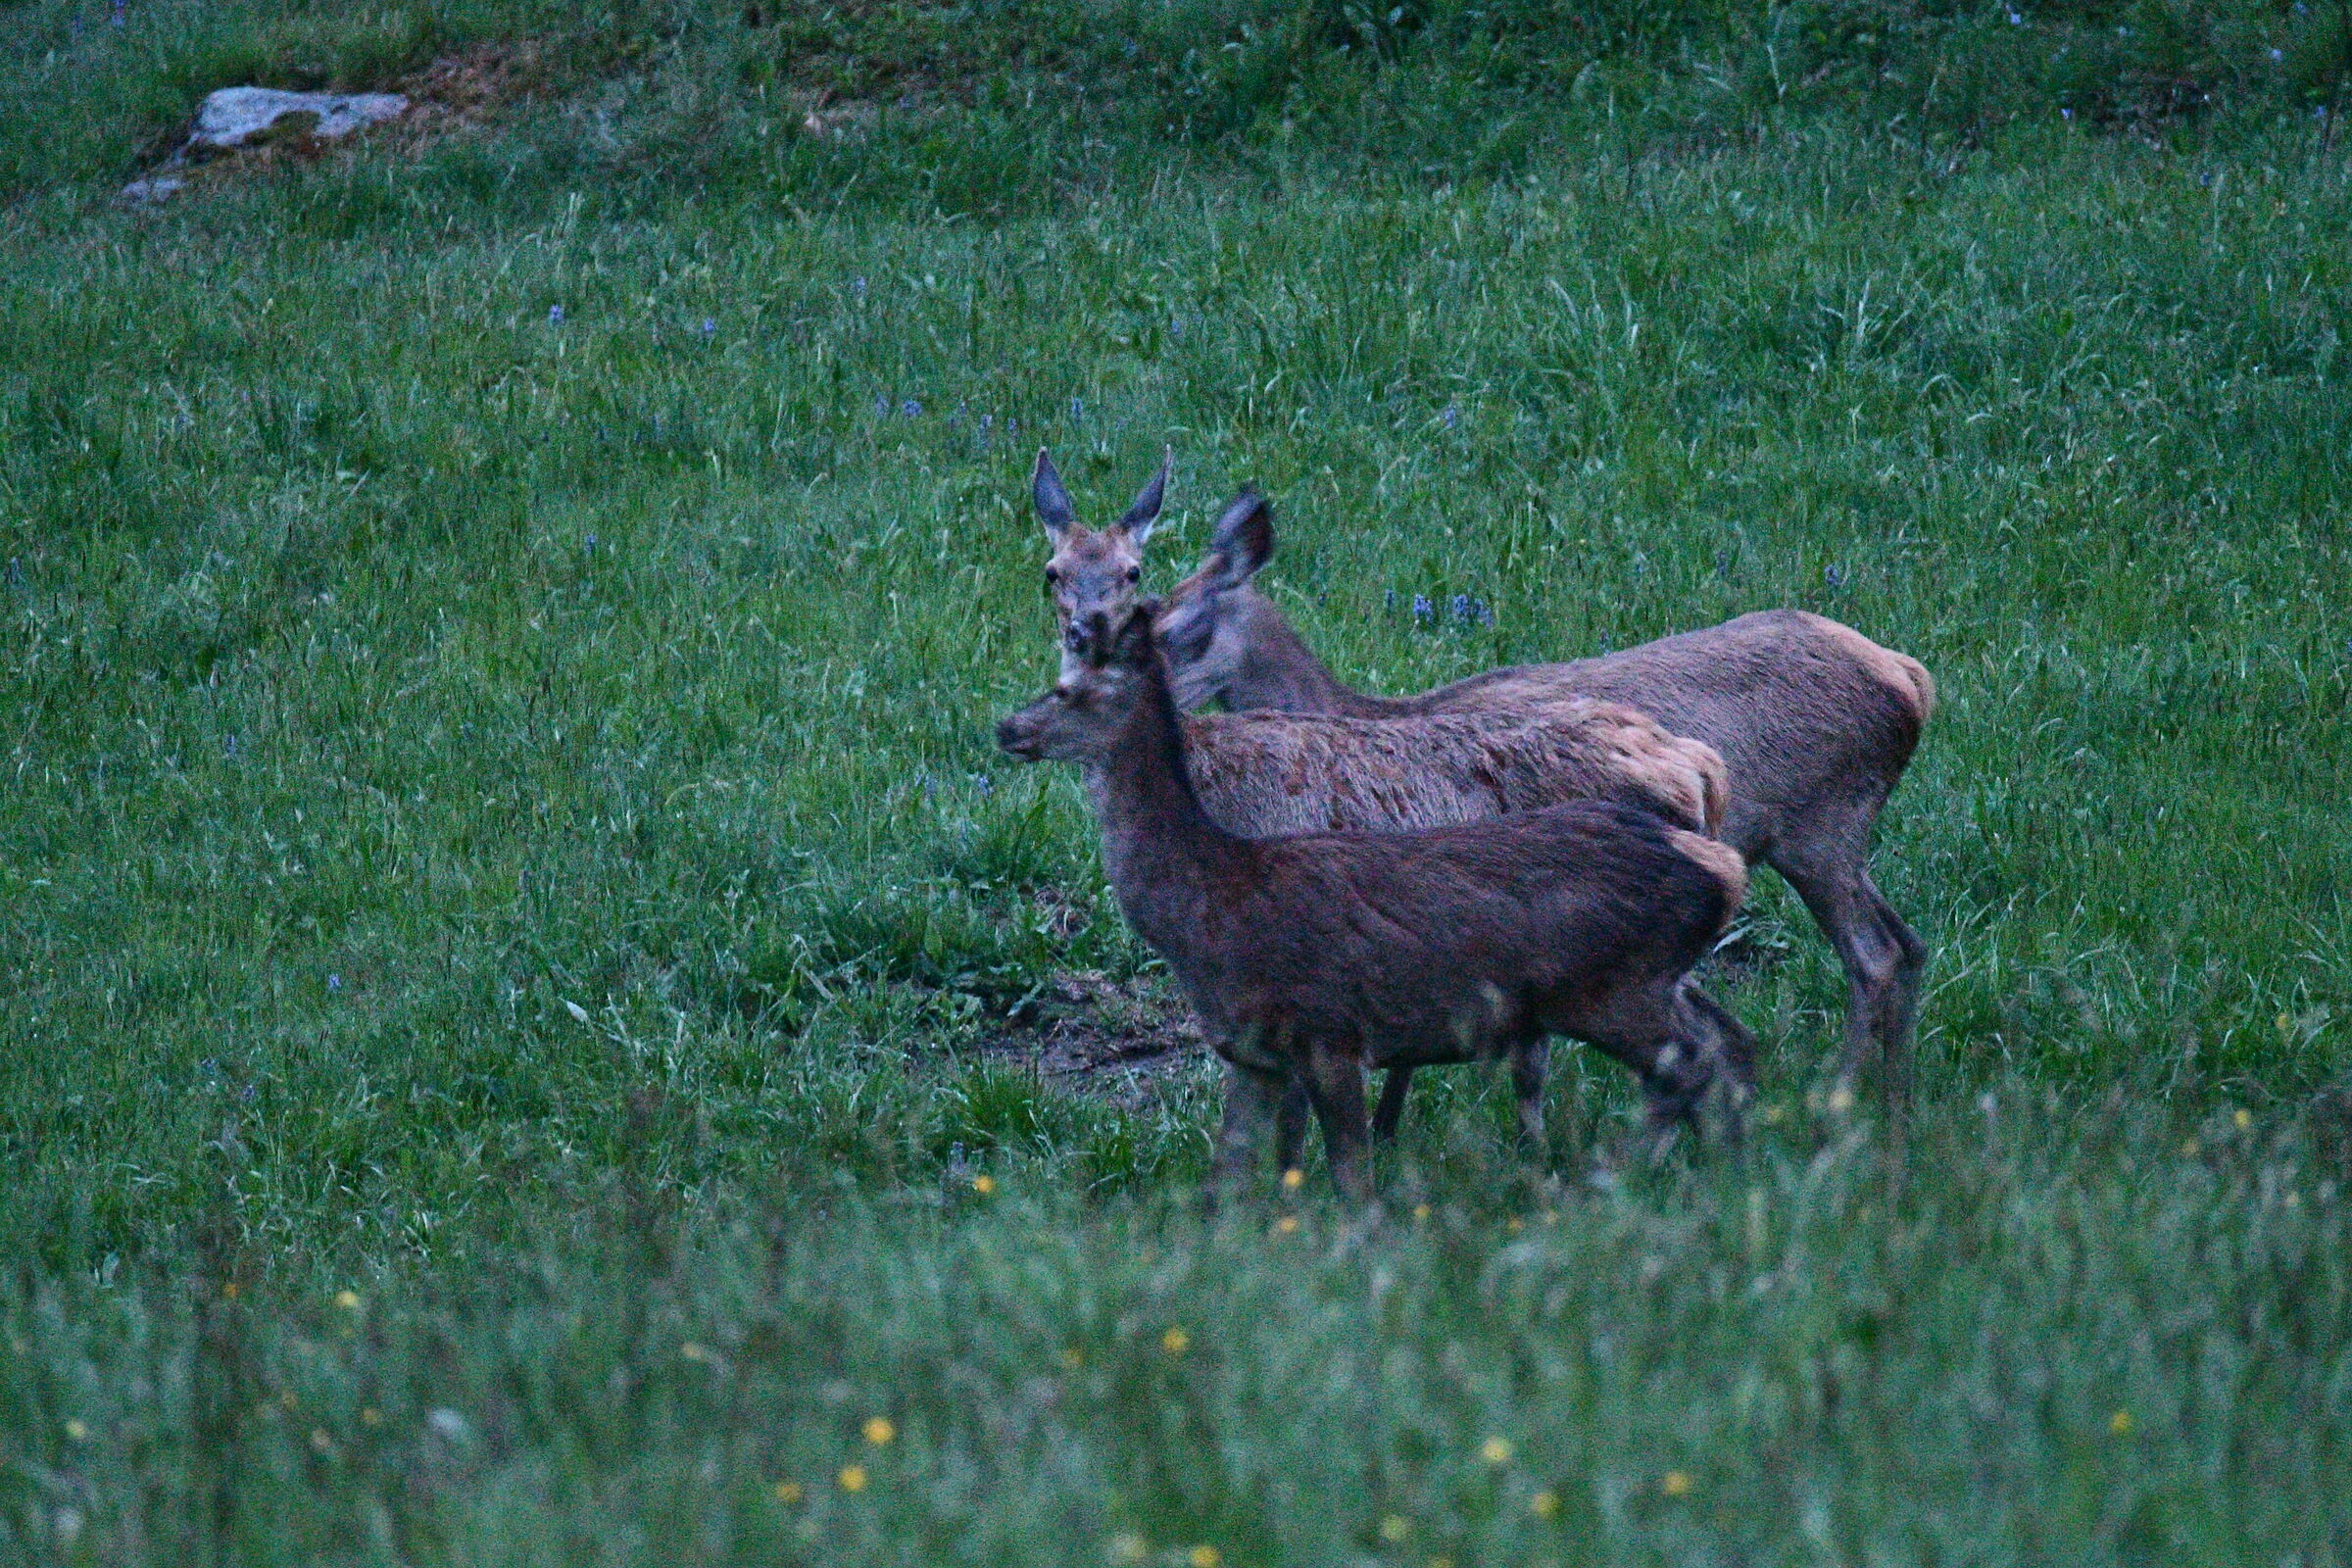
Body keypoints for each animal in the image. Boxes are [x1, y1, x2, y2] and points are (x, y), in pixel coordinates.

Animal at [997, 605, 1754, 1202]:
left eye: (1068, 688)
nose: (1006, 727)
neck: (1209, 901)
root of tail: (1723, 861)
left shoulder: (1330, 1029)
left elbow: (1350, 1180)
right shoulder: (1252, 1052)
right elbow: (1225, 1184)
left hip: (1606, 986)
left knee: (1691, 1062)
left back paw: (1621, 1177)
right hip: (1644, 982)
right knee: (1725, 1045)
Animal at [1029, 450, 1935, 1109]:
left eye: (1168, 619)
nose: (1082, 657)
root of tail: (1912, 677)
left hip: (1817, 824)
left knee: (1871, 957)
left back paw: (1842, 1098)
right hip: (1823, 837)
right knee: (1907, 944)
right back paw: (1888, 1099)